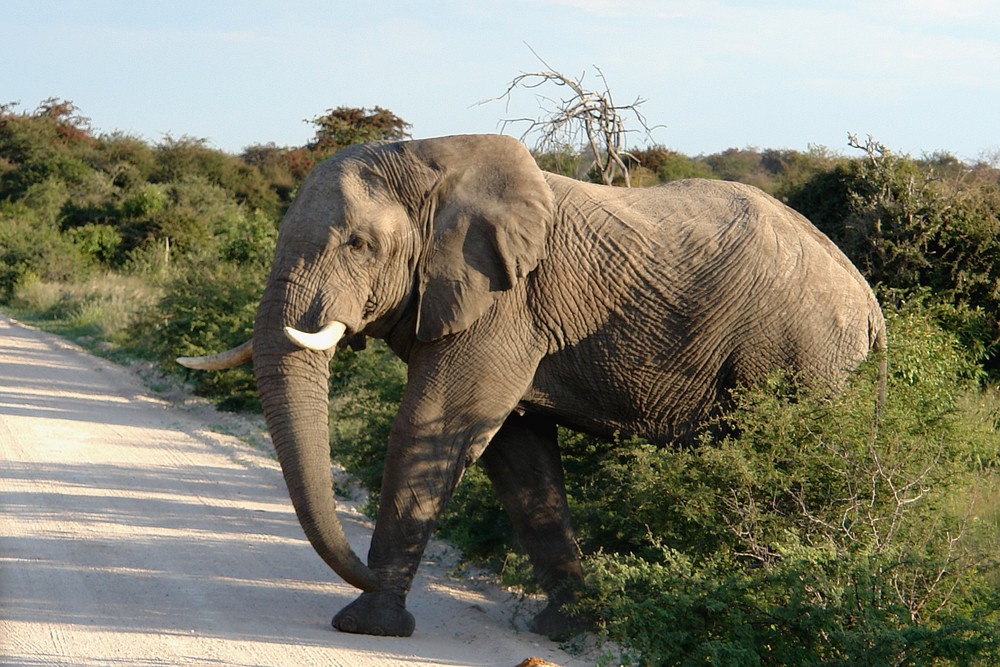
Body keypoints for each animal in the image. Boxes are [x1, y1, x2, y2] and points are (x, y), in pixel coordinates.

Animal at [178, 133, 884, 640]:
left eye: (357, 244)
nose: (361, 574)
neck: (431, 161)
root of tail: (872, 306)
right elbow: (517, 458)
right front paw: (569, 628)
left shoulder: (507, 305)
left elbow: (434, 428)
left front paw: (369, 625)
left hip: (802, 352)